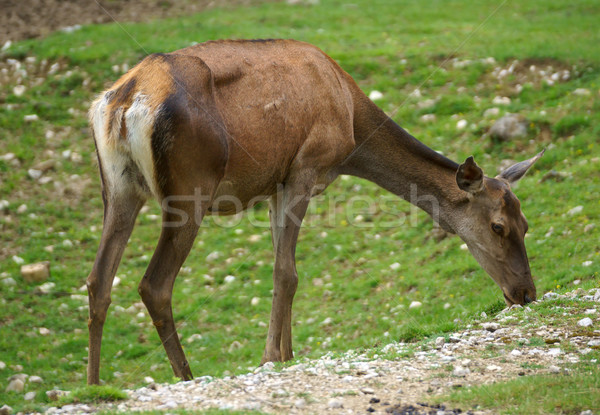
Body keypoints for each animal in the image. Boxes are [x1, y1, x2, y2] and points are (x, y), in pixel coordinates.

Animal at [88, 38, 544, 384]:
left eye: (526, 224)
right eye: (498, 226)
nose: (526, 293)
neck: (352, 125)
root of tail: (124, 102)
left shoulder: (275, 184)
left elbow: (283, 266)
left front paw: (286, 354)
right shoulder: (306, 167)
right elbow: (286, 272)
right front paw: (272, 357)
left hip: (118, 186)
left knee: (98, 279)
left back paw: (94, 386)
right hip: (189, 189)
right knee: (154, 284)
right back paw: (187, 376)